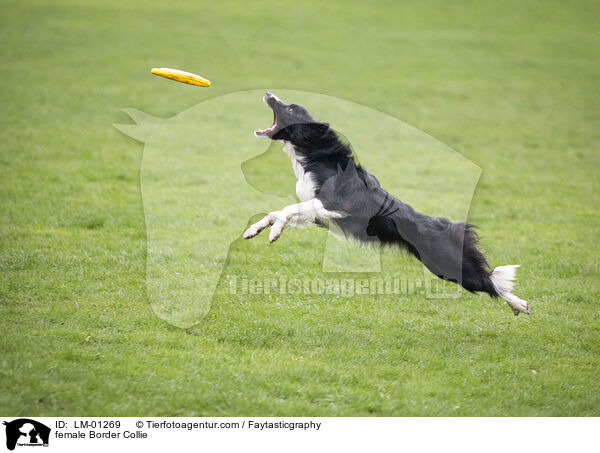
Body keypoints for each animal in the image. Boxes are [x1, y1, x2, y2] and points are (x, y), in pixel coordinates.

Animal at [244, 92, 528, 314]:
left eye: (291, 108)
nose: (268, 93)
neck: (317, 155)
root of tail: (445, 226)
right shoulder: (318, 213)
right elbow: (278, 211)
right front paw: (255, 230)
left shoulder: (333, 204)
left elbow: (287, 209)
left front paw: (273, 232)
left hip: (446, 266)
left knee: (489, 281)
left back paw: (520, 304)